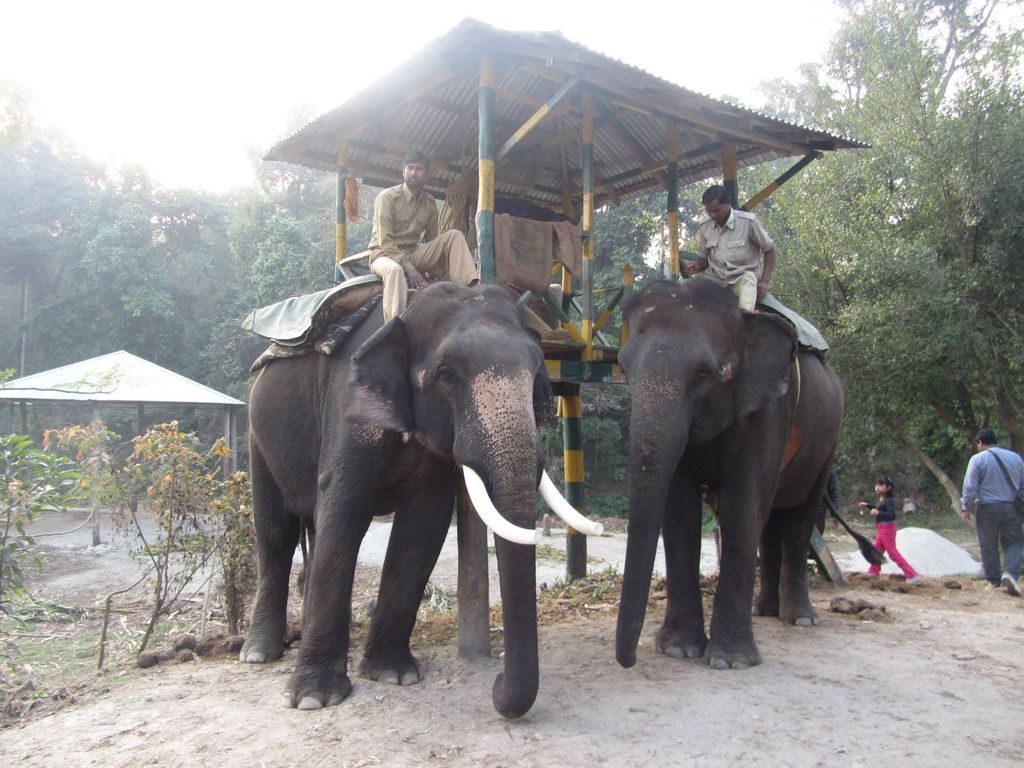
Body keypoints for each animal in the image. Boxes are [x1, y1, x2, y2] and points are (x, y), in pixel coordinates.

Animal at [240, 282, 598, 720]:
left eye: (535, 375)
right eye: (447, 375)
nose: (496, 684)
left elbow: (423, 525)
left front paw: (393, 675)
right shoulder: (347, 404)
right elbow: (342, 510)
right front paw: (313, 699)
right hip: (257, 436)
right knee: (275, 533)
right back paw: (258, 654)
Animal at [614, 280, 839, 671]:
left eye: (705, 374)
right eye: (624, 370)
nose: (628, 661)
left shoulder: (768, 412)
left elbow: (741, 509)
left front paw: (729, 661)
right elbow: (680, 514)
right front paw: (678, 650)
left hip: (828, 442)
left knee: (799, 517)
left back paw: (800, 619)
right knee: (771, 522)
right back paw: (764, 611)